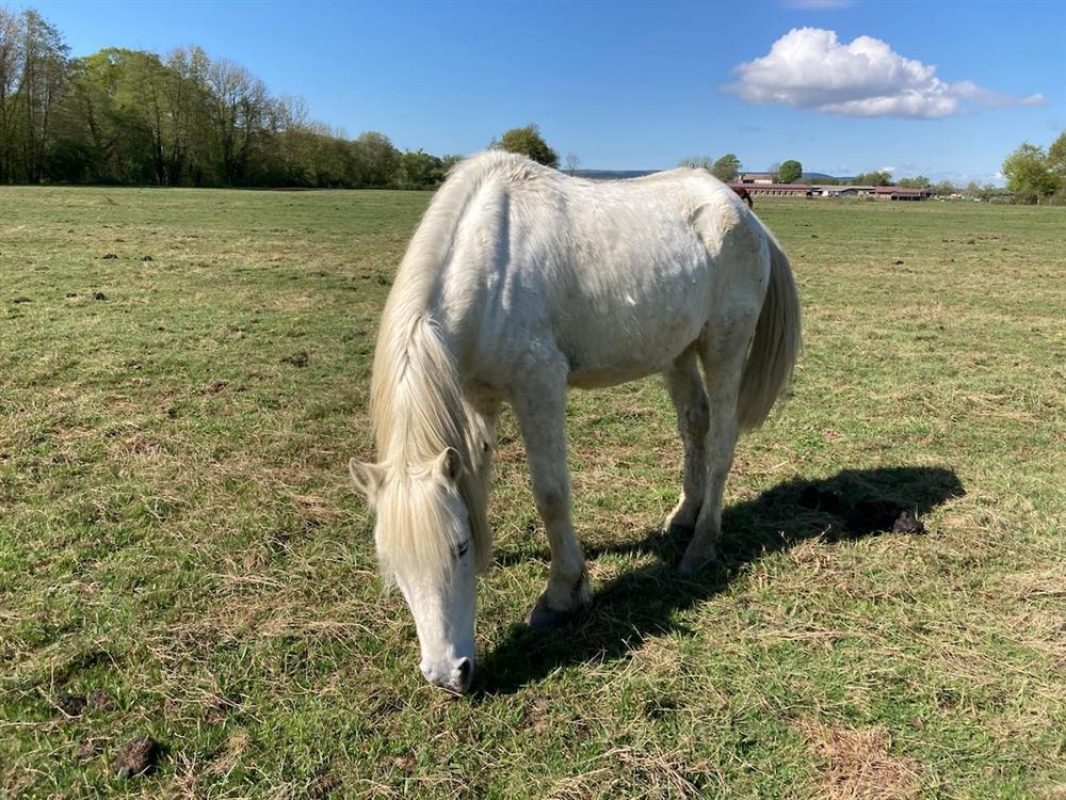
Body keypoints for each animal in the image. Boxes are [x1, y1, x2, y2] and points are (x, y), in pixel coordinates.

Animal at [350, 151, 801, 694]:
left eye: (456, 549)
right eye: (392, 565)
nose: (448, 675)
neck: (489, 265)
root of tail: (746, 216)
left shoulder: (539, 387)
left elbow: (550, 495)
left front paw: (562, 595)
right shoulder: (479, 397)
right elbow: (476, 482)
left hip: (724, 348)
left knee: (721, 441)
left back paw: (701, 544)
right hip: (677, 350)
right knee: (695, 422)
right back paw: (682, 517)